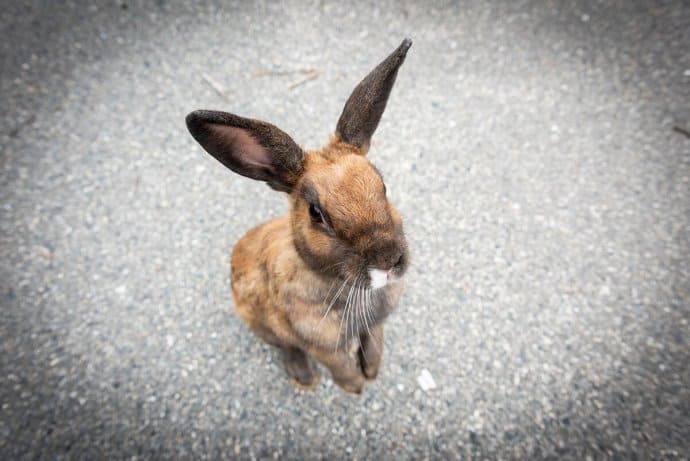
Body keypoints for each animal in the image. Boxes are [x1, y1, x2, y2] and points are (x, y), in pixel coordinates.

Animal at [185, 38, 412, 392]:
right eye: (316, 213)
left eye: (383, 185)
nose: (387, 260)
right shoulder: (321, 345)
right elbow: (338, 364)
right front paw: (354, 386)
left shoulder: (376, 325)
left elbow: (373, 340)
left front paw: (372, 370)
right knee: (284, 345)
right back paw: (303, 377)